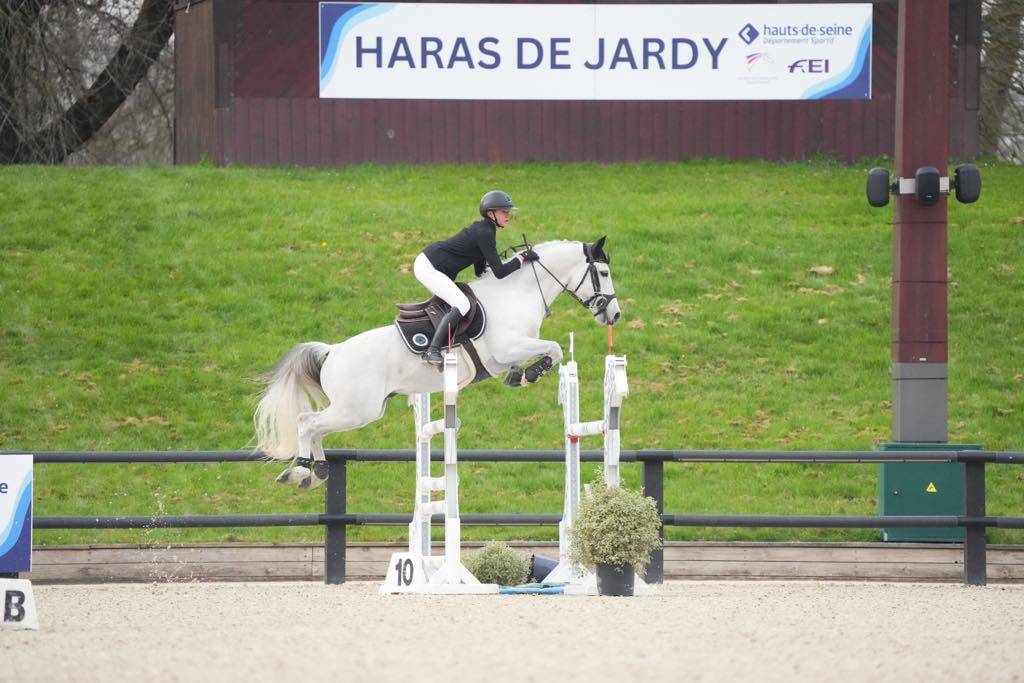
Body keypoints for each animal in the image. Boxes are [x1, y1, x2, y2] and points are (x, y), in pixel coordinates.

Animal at [253, 237, 621, 489]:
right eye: (603, 272)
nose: (615, 315)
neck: (516, 294)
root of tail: (333, 351)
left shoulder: (507, 355)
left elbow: (545, 353)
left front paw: (520, 376)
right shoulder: (508, 348)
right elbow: (555, 348)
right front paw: (531, 374)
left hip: (359, 410)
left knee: (315, 427)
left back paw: (316, 473)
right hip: (356, 409)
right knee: (307, 423)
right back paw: (301, 469)